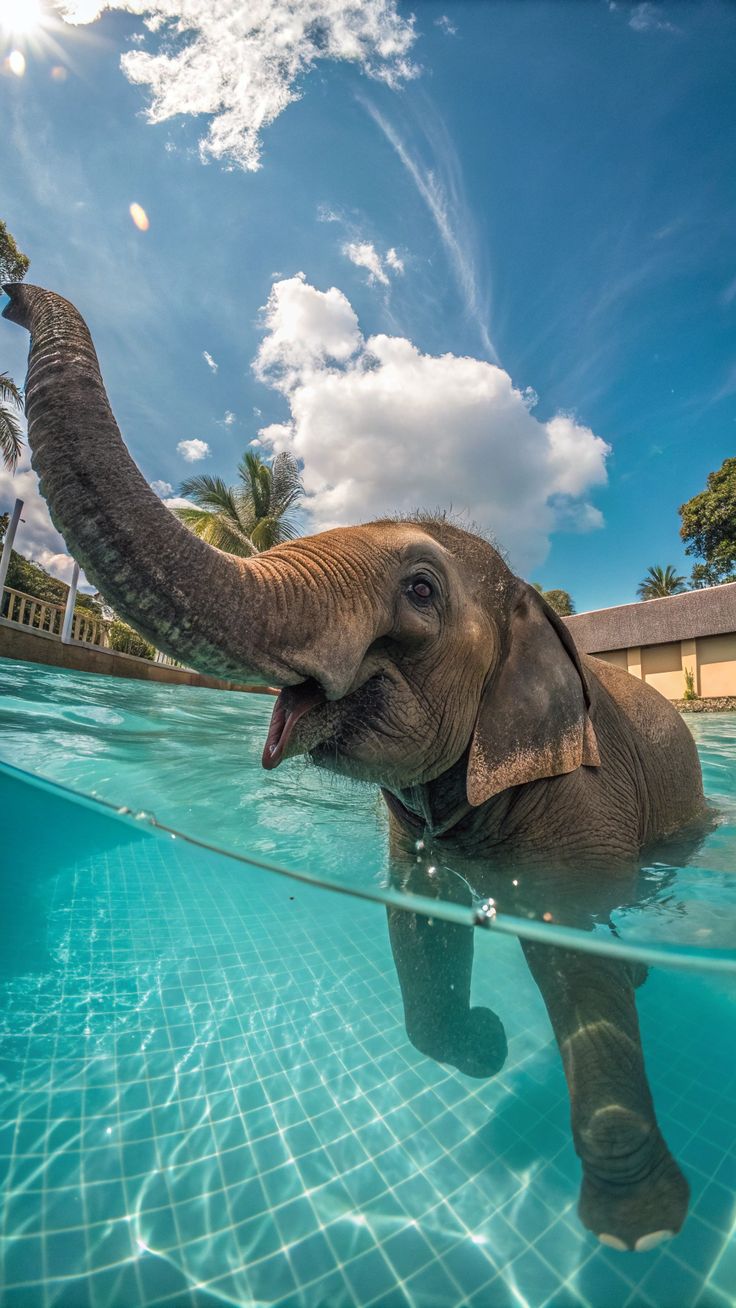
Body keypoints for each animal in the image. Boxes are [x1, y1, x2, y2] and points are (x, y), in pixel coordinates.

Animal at [3, 284, 709, 1254]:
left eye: (420, 591)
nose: (15, 292)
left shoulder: (580, 800)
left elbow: (572, 965)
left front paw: (638, 1235)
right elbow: (418, 929)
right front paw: (485, 1046)